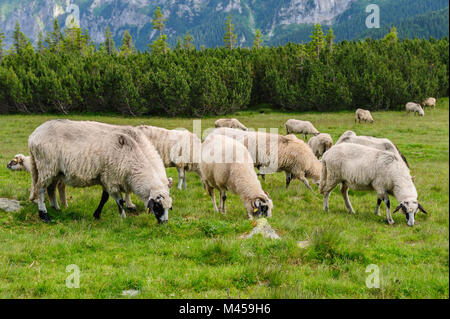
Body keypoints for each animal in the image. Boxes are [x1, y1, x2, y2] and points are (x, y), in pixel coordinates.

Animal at [28, 120, 172, 225]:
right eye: (157, 207)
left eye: (169, 207)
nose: (164, 223)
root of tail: (33, 135)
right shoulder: (111, 178)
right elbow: (119, 200)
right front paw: (124, 217)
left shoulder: (105, 177)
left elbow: (104, 198)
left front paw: (97, 215)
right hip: (46, 166)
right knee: (40, 189)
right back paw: (44, 215)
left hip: (54, 170)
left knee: (51, 188)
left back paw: (56, 208)